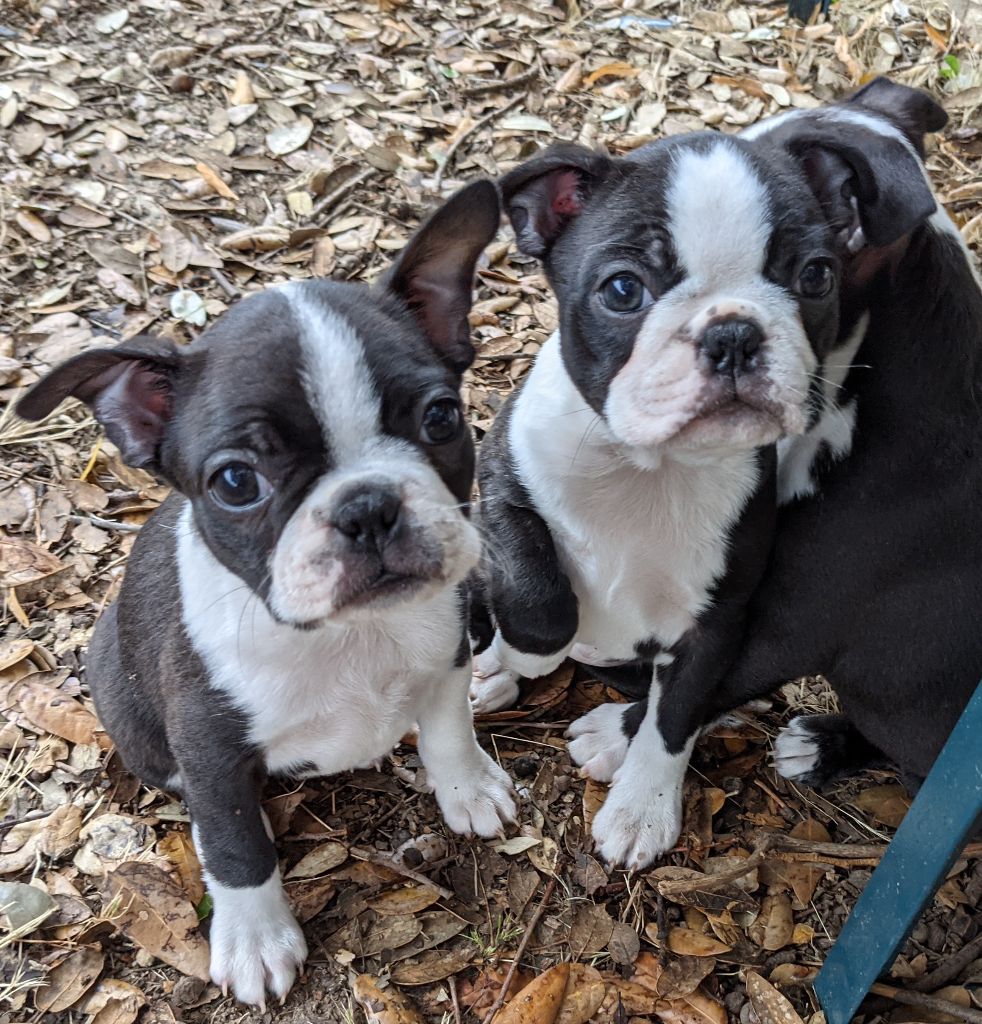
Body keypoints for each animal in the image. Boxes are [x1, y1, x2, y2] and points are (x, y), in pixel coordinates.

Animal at [17, 180, 516, 1007]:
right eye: (234, 482)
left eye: (441, 417)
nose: (367, 505)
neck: (347, 635)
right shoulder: (210, 749)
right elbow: (236, 842)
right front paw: (255, 938)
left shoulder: (447, 654)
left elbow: (450, 728)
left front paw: (469, 788)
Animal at [469, 78, 969, 870]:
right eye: (622, 290)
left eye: (815, 276)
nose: (732, 330)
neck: (648, 467)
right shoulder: (503, 471)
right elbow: (535, 592)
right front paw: (520, 652)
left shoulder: (733, 620)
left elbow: (676, 714)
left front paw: (640, 808)